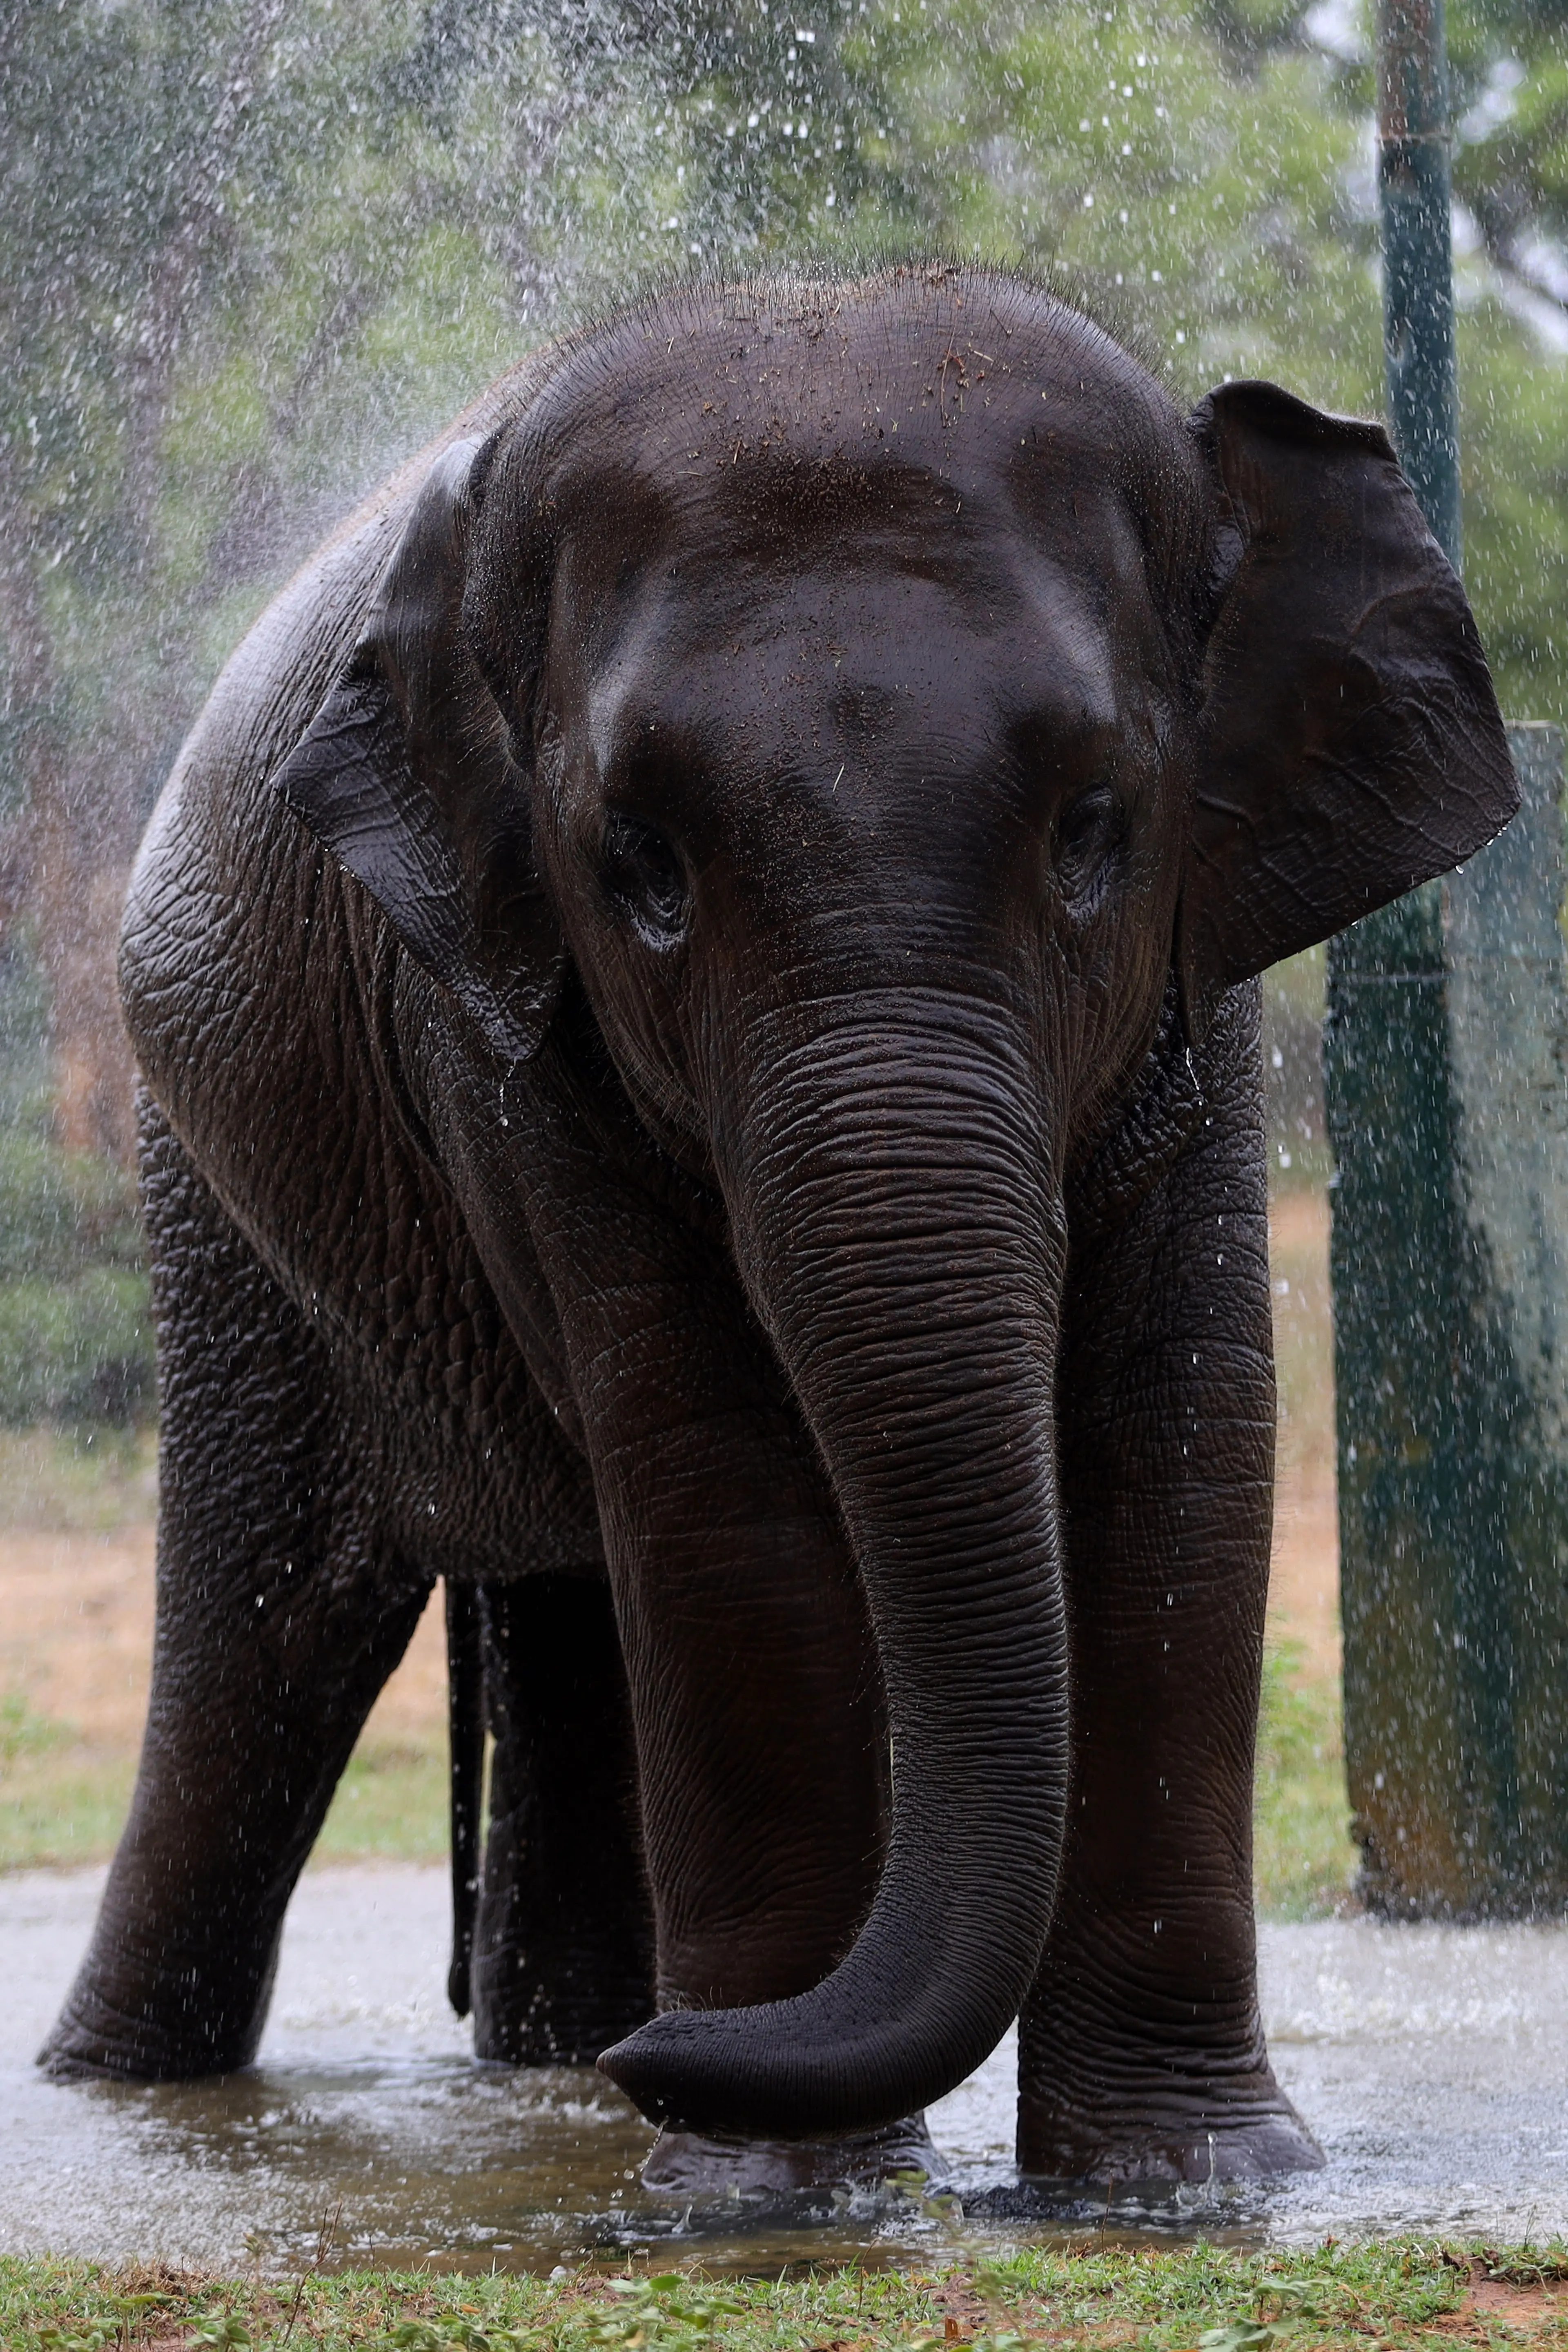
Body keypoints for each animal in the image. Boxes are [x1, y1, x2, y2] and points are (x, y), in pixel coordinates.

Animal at [42, 262, 1516, 2197]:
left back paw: (565, 2054)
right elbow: (718, 1482)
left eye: (1098, 828)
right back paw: (158, 2089)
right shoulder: (509, 1031)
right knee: (269, 1637)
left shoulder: (1197, 1000)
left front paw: (1189, 2185)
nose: (680, 2066)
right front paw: (767, 2196)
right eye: (637, 866)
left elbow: (1182, 1449)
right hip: (225, 1216)